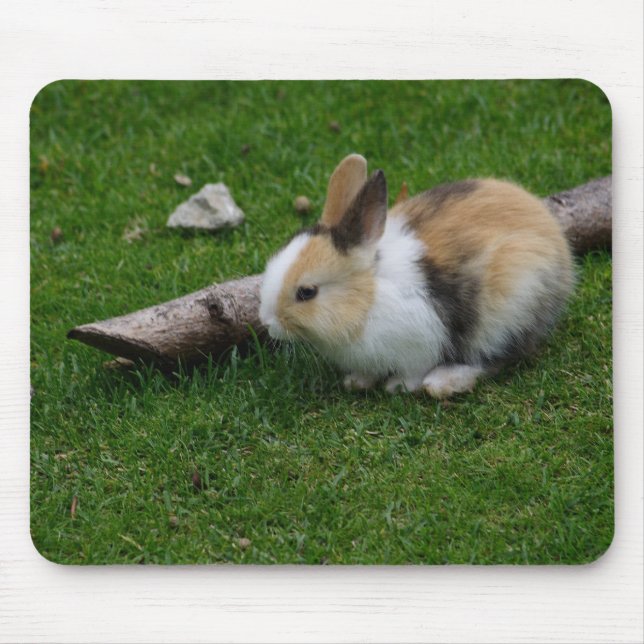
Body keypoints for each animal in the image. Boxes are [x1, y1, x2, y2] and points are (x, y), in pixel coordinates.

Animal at [259, 154, 574, 398]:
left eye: (307, 292)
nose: (268, 323)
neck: (368, 298)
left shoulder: (420, 344)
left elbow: (414, 370)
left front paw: (396, 386)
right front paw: (356, 381)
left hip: (510, 312)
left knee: (498, 357)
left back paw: (444, 381)